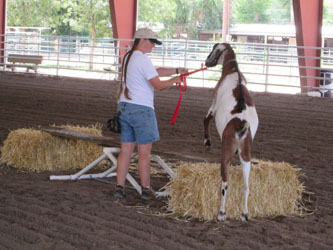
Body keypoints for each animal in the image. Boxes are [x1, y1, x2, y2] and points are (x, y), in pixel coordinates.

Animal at [202, 43, 260, 221]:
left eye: (213, 50)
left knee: (225, 184)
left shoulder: (214, 103)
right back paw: (245, 214)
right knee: (246, 185)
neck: (233, 71)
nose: (207, 61)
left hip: (225, 154)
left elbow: (206, 118)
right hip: (246, 156)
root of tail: (241, 125)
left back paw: (221, 213)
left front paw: (207, 141)